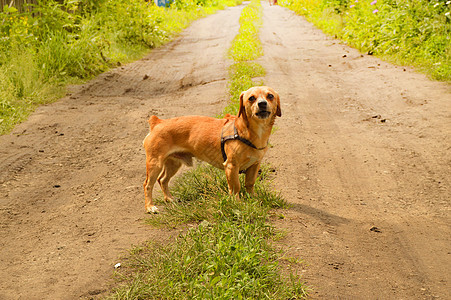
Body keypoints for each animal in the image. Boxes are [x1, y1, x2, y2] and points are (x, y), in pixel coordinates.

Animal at [143, 86, 280, 213]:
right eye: (251, 98)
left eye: (270, 96)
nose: (262, 103)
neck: (248, 132)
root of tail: (157, 122)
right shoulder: (231, 167)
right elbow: (235, 187)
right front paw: (237, 203)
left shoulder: (255, 165)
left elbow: (250, 184)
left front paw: (252, 198)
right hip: (155, 164)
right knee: (148, 184)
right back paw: (150, 207)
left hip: (173, 163)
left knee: (162, 180)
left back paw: (169, 198)